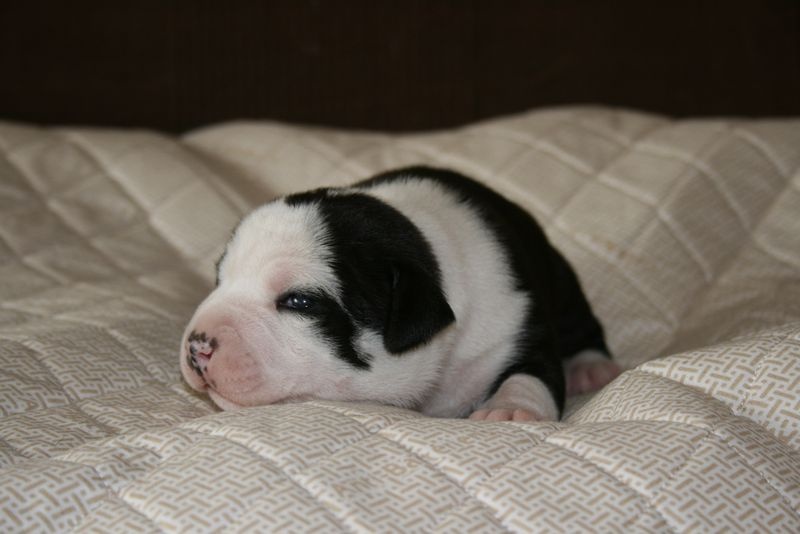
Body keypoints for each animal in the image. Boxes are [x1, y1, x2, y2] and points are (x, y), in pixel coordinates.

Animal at [179, 166, 620, 421]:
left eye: (299, 302)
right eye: (219, 280)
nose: (197, 346)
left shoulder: (519, 322)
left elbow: (532, 371)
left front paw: (509, 410)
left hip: (560, 278)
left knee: (581, 322)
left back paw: (590, 367)